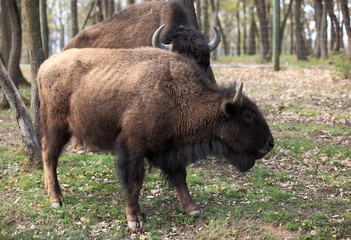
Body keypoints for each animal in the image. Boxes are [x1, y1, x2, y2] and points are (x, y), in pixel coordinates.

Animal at [38, 47, 276, 231]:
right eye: (248, 115)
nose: (270, 143)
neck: (177, 93)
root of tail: (44, 65)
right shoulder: (133, 147)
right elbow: (135, 182)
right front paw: (134, 220)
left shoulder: (170, 149)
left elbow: (180, 178)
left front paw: (193, 209)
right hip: (57, 127)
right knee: (50, 156)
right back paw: (56, 200)